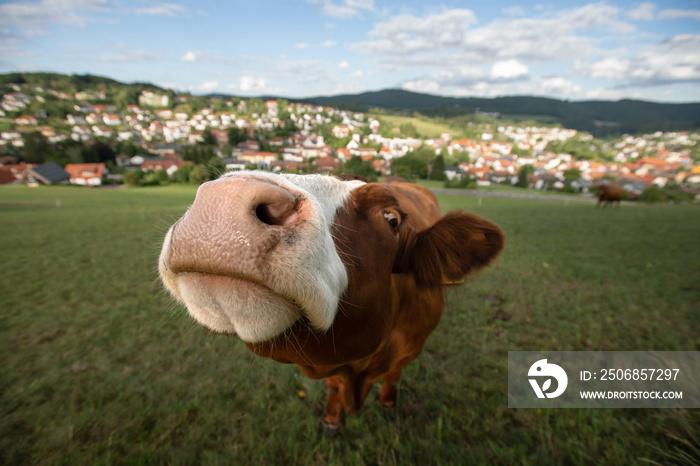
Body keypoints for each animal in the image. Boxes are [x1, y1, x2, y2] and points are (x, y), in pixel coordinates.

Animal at [159, 169, 504, 432]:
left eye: (391, 219)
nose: (226, 198)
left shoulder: (410, 349)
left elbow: (394, 374)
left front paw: (389, 403)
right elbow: (334, 386)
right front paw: (332, 419)